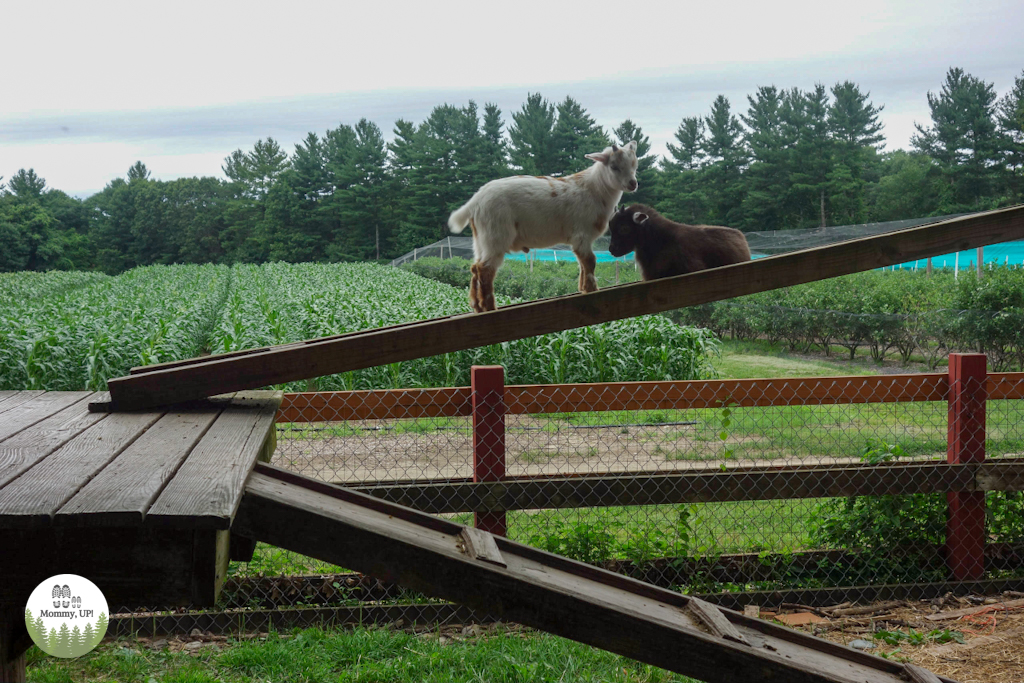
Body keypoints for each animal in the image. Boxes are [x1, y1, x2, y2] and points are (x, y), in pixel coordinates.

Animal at [450, 144, 638, 315]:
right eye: (614, 166)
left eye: (634, 164)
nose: (633, 184)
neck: (594, 189)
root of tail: (475, 202)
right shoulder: (581, 233)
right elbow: (590, 261)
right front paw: (592, 289)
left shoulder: (580, 239)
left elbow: (583, 264)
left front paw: (583, 288)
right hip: (495, 234)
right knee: (485, 270)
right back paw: (489, 307)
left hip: (480, 238)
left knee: (475, 267)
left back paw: (477, 306)